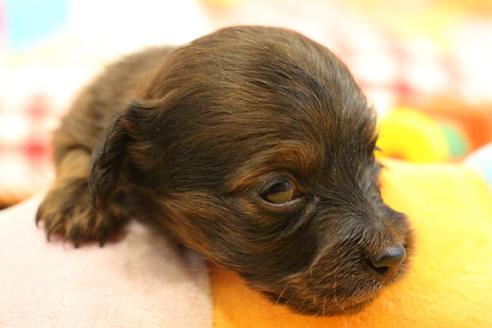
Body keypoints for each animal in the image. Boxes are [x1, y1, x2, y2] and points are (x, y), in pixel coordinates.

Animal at [36, 26, 414, 316]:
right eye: (279, 190)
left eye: (370, 157)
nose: (393, 257)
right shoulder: (80, 118)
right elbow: (75, 155)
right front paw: (77, 203)